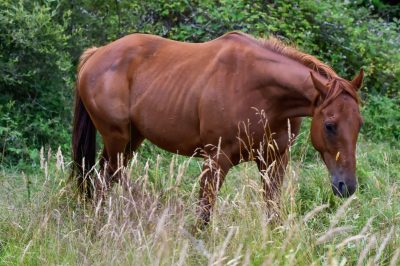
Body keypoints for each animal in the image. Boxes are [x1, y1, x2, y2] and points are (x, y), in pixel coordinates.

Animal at [70, 31, 364, 227]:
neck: (263, 93)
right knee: (103, 179)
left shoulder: (274, 161)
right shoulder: (216, 160)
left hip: (131, 140)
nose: (347, 186)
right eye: (330, 125)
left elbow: (273, 212)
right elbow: (204, 215)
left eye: (358, 125)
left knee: (105, 178)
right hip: (117, 139)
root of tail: (95, 55)